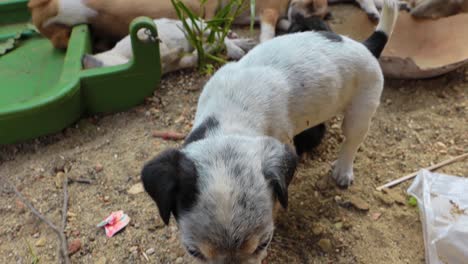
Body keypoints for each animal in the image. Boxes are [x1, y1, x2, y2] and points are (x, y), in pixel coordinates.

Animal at [82, 17, 254, 73]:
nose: (84, 58)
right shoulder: (179, 63)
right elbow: (192, 58)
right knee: (214, 37)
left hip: (192, 24)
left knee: (216, 34)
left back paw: (238, 46)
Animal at [142, 0, 398, 262]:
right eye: (193, 251)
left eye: (264, 243)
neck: (230, 116)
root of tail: (365, 46)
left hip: (361, 109)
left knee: (351, 142)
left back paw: (343, 171)